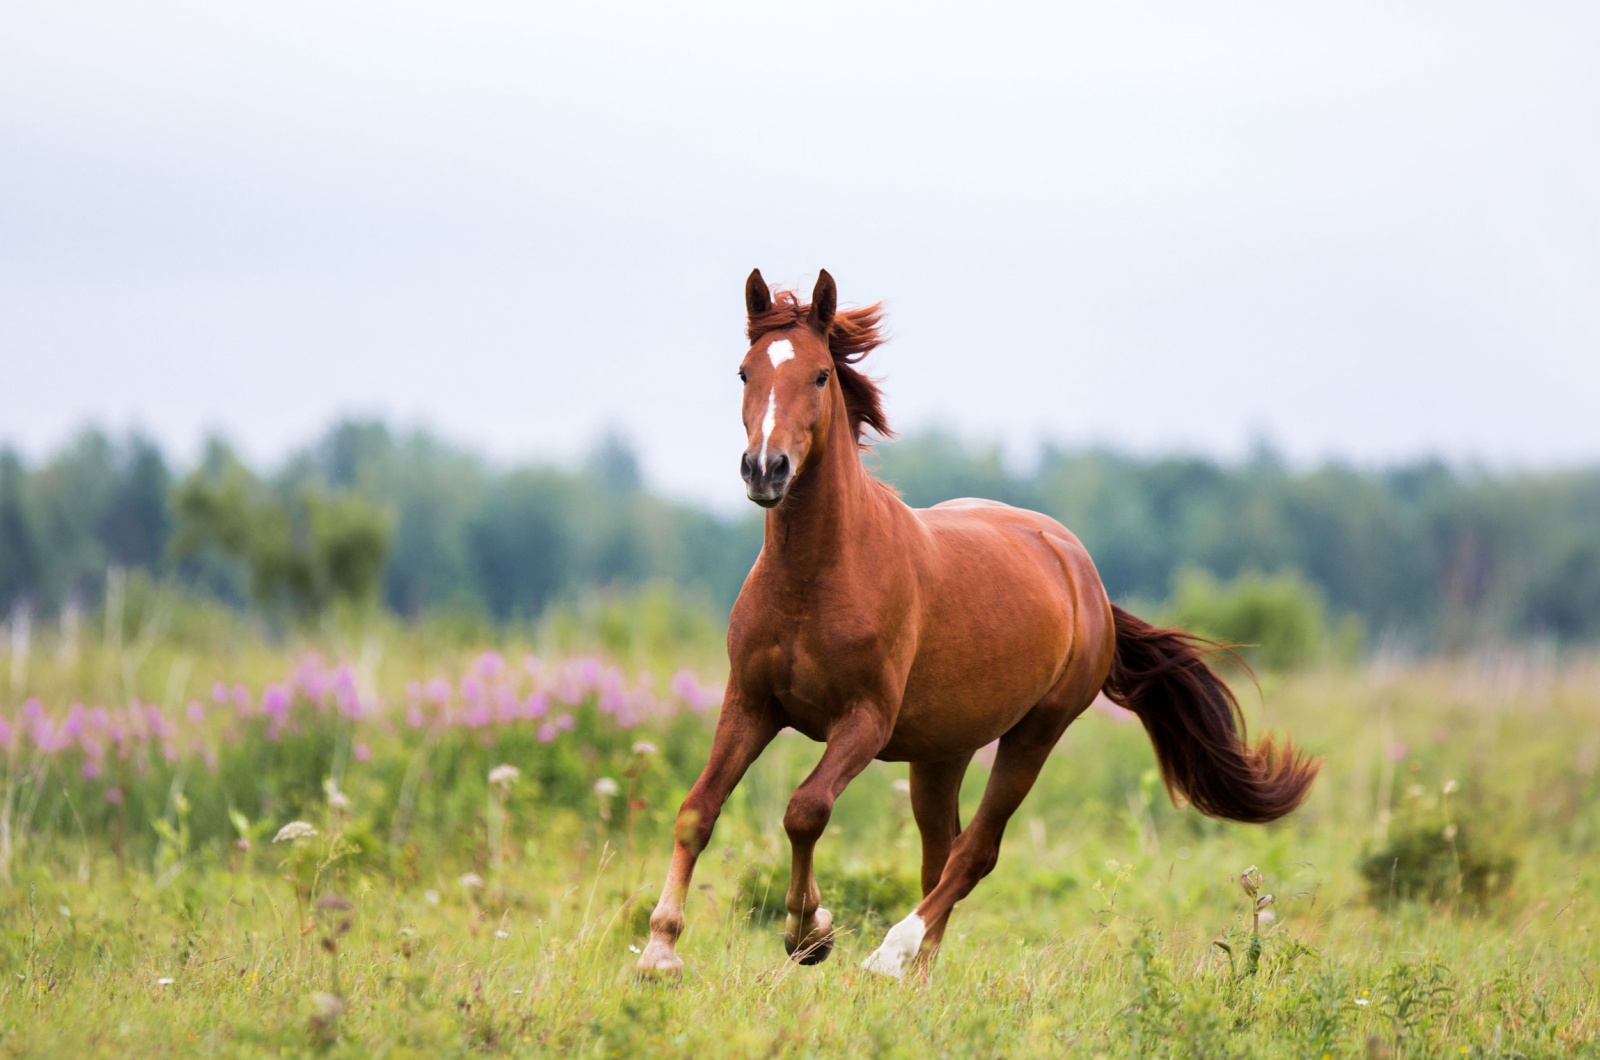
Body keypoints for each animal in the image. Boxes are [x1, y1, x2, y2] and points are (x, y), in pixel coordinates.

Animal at [630, 272, 1318, 979]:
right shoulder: (751, 701)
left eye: (820, 375)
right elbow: (698, 810)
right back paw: (918, 973)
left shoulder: (865, 721)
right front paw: (660, 950)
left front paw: (808, 933)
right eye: (745, 372)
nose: (765, 470)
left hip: (1034, 734)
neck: (814, 579)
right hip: (942, 752)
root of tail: (1083, 573)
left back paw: (892, 954)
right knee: (942, 852)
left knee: (974, 852)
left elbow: (806, 810)